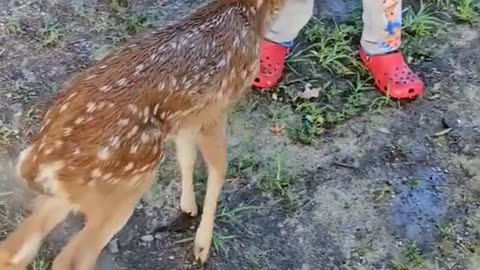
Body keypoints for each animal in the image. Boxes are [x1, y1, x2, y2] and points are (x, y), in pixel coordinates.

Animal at [0, 0, 284, 268]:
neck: (250, 13)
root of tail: (35, 164)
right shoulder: (218, 108)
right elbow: (218, 169)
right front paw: (202, 245)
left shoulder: (186, 119)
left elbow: (186, 157)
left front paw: (188, 208)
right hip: (124, 187)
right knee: (71, 260)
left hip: (78, 193)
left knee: (14, 250)